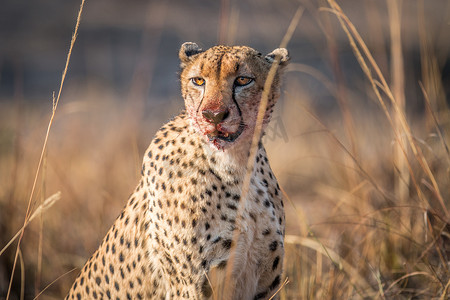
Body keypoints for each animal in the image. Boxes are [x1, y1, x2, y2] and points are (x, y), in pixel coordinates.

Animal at [65, 42, 290, 300]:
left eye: (243, 80)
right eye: (198, 81)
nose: (213, 115)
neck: (237, 165)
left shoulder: (265, 284)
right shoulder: (190, 286)